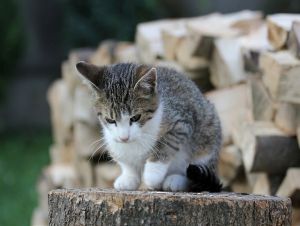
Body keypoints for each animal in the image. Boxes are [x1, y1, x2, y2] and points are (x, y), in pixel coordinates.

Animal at [77, 61, 223, 192]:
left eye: (135, 117)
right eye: (110, 120)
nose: (124, 138)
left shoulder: (182, 121)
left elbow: (166, 144)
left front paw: (152, 174)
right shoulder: (113, 141)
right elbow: (125, 160)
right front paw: (129, 177)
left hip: (208, 131)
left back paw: (176, 180)